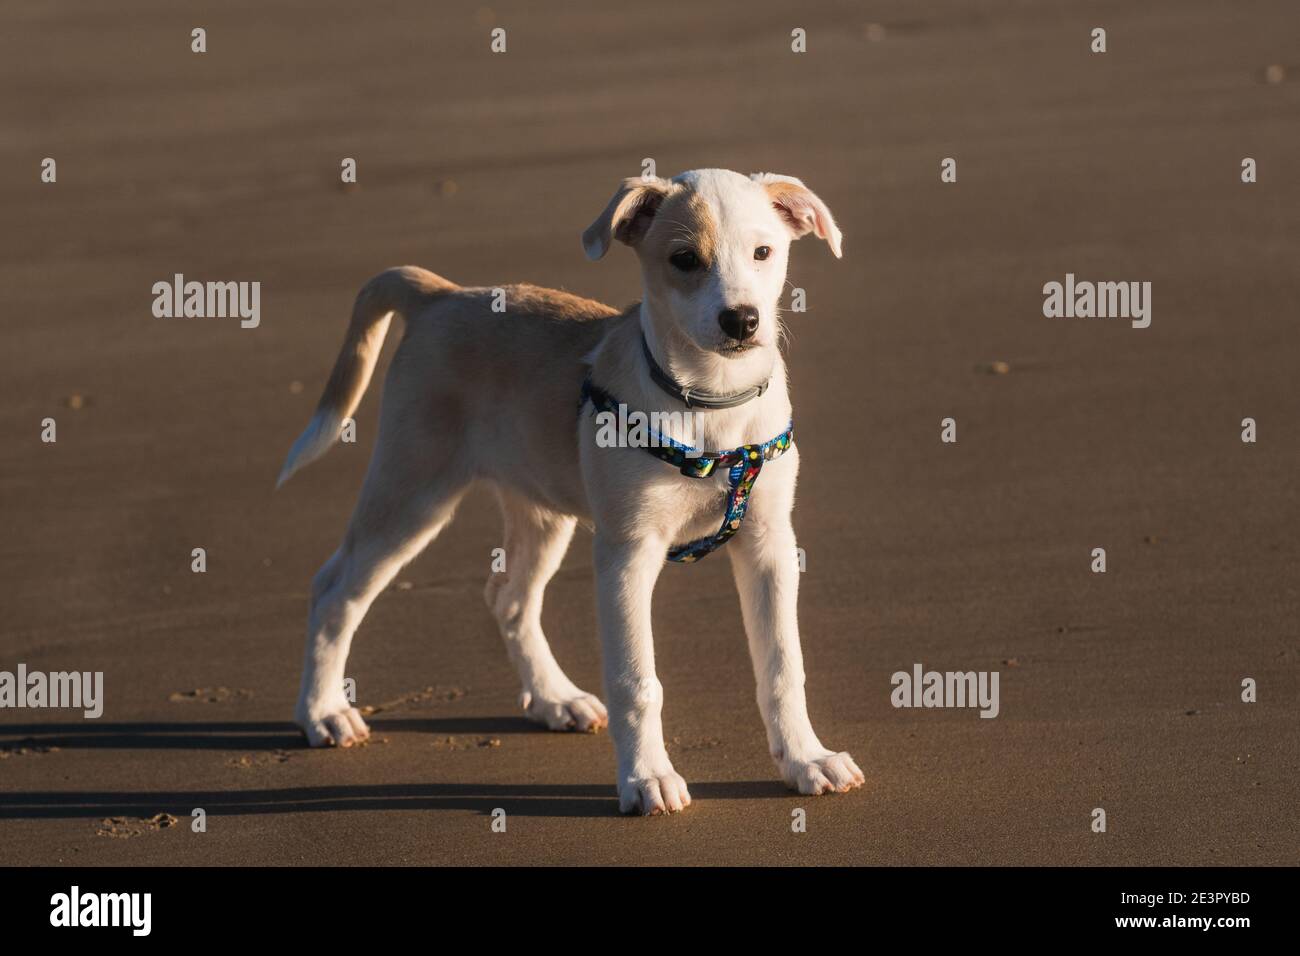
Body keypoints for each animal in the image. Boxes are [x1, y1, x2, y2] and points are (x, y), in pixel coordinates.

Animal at [276, 167, 863, 811]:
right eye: (685, 260)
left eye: (764, 253)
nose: (742, 321)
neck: (711, 403)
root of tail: (441, 295)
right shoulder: (627, 553)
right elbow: (637, 679)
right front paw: (646, 778)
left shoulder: (768, 545)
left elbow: (783, 666)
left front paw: (806, 759)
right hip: (411, 491)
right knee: (335, 590)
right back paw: (324, 711)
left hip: (539, 509)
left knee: (509, 598)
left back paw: (554, 698)